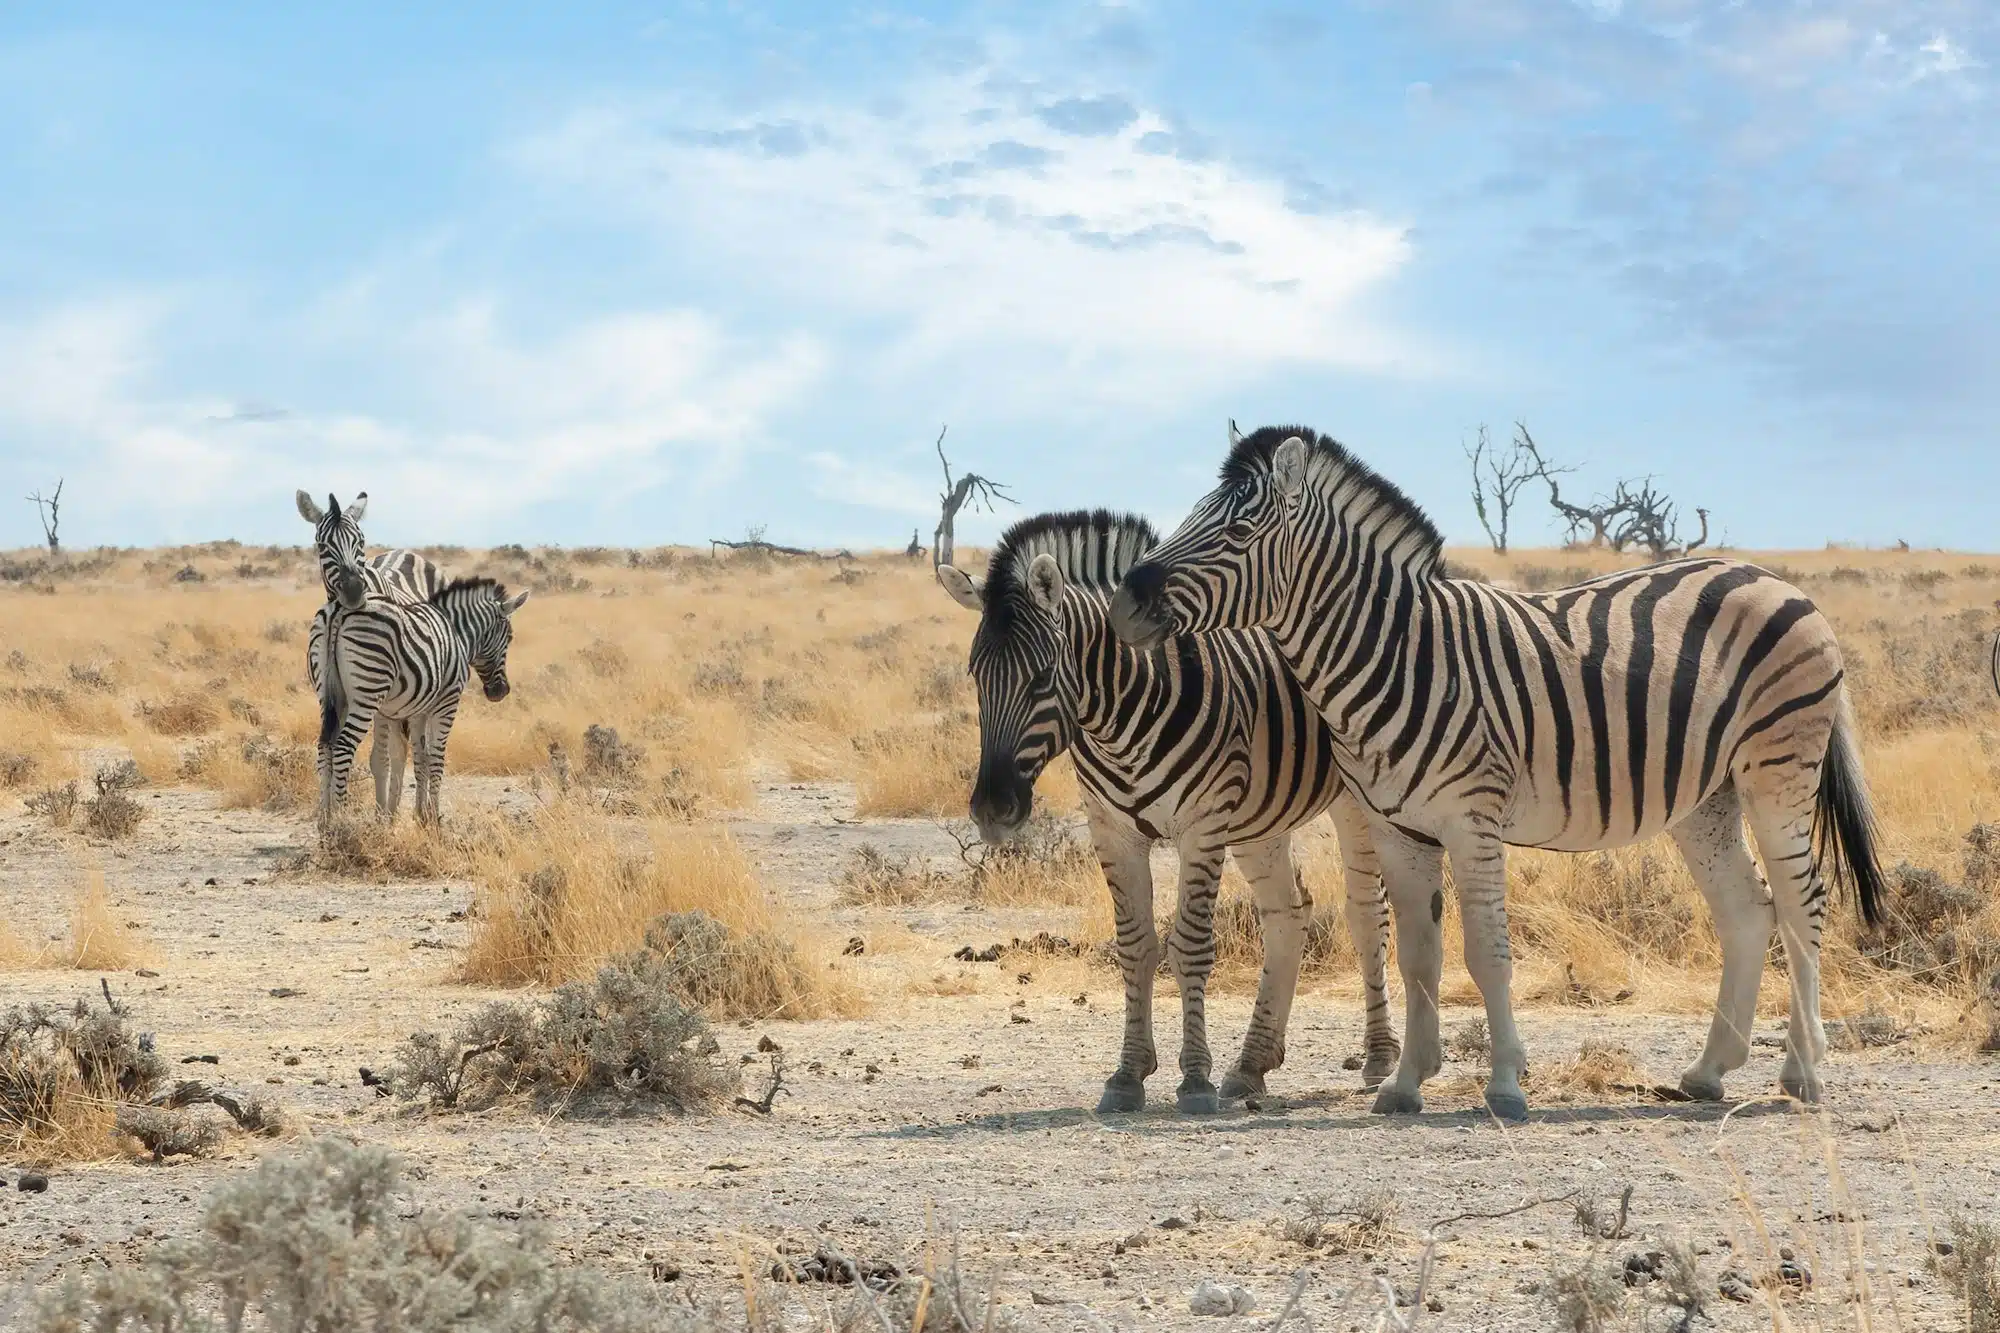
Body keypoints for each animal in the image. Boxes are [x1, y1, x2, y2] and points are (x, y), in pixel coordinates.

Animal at [294, 488, 448, 816]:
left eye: (360, 541)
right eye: (322, 545)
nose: (354, 591)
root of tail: (406, 552)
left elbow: (384, 756)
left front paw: (384, 814)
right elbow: (376, 757)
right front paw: (377, 814)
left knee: (418, 749)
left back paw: (415, 810)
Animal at [314, 576, 528, 824]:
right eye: (510, 638)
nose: (501, 691)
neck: (457, 634)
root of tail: (339, 608)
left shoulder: (418, 710)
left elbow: (420, 759)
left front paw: (421, 815)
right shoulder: (447, 703)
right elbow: (436, 758)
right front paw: (434, 817)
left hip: (330, 694)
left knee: (325, 746)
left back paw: (325, 820)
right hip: (367, 693)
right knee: (343, 746)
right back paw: (341, 820)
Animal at [932, 508, 1392, 1112]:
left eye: (1042, 677)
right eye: (975, 676)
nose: (992, 809)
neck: (1119, 717)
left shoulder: (1202, 824)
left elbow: (1190, 946)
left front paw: (1194, 1078)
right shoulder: (1112, 831)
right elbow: (1135, 946)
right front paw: (1128, 1075)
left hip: (1354, 802)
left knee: (1367, 914)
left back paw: (1380, 1061)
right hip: (1260, 820)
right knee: (1287, 917)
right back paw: (1251, 1066)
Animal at [1112, 420, 1888, 1112]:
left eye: (1237, 533)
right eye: (1192, 512)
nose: (1124, 601)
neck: (1398, 651)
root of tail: (1773, 578)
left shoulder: (1471, 817)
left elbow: (1486, 952)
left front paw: (1506, 1083)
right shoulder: (1400, 829)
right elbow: (1417, 955)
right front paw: (1404, 1084)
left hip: (1777, 768)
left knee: (1802, 901)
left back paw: (1802, 1074)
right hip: (1706, 798)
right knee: (1747, 911)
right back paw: (1708, 1071)